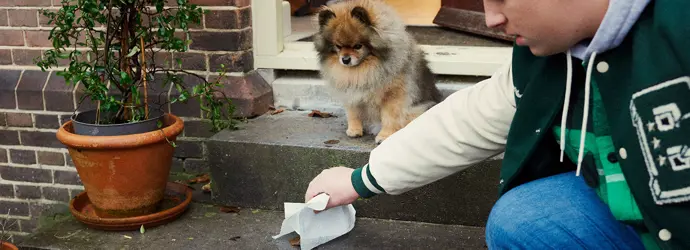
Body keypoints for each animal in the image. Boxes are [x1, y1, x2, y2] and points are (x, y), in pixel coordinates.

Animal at [314, 0, 440, 145]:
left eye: (358, 46)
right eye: (338, 46)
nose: (345, 59)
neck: (364, 70)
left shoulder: (392, 96)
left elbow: (389, 117)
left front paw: (384, 136)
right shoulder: (352, 95)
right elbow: (353, 114)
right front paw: (354, 130)